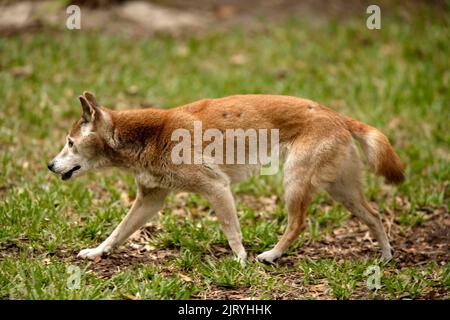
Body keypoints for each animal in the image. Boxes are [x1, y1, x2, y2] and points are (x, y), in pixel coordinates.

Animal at [48, 91, 404, 264]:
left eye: (69, 143)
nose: (50, 166)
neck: (149, 136)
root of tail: (338, 116)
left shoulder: (216, 187)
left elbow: (232, 233)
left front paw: (240, 262)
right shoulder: (150, 199)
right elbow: (118, 232)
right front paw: (98, 252)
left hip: (296, 180)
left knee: (297, 223)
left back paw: (272, 255)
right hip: (341, 189)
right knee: (375, 215)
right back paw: (386, 257)